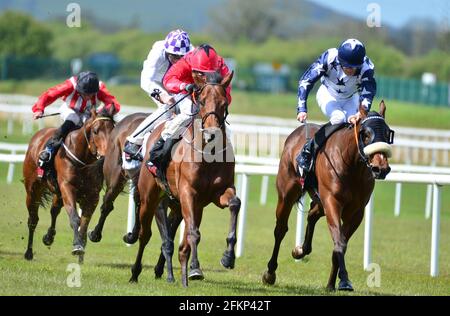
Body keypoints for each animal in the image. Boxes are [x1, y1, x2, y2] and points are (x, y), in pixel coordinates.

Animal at [23, 107, 115, 262]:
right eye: (96, 131)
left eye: (113, 129)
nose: (106, 155)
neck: (83, 160)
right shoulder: (67, 188)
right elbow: (75, 218)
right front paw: (77, 246)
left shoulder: (92, 196)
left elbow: (84, 223)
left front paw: (81, 248)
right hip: (33, 190)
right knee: (33, 219)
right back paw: (28, 252)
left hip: (58, 194)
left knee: (54, 210)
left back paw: (48, 237)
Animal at [128, 71, 241, 286]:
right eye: (202, 101)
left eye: (224, 103)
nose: (211, 134)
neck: (208, 155)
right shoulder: (188, 192)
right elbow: (193, 233)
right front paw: (195, 267)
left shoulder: (219, 192)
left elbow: (235, 204)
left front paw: (228, 257)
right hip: (150, 198)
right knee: (145, 235)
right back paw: (135, 272)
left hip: (186, 206)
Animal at [262, 101, 392, 292]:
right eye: (366, 134)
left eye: (388, 133)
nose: (381, 168)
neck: (352, 166)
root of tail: (296, 133)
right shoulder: (332, 201)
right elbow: (339, 242)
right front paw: (344, 279)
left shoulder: (356, 212)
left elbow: (341, 244)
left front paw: (333, 283)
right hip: (287, 193)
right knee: (280, 229)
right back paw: (270, 272)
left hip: (320, 201)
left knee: (312, 214)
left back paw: (300, 250)